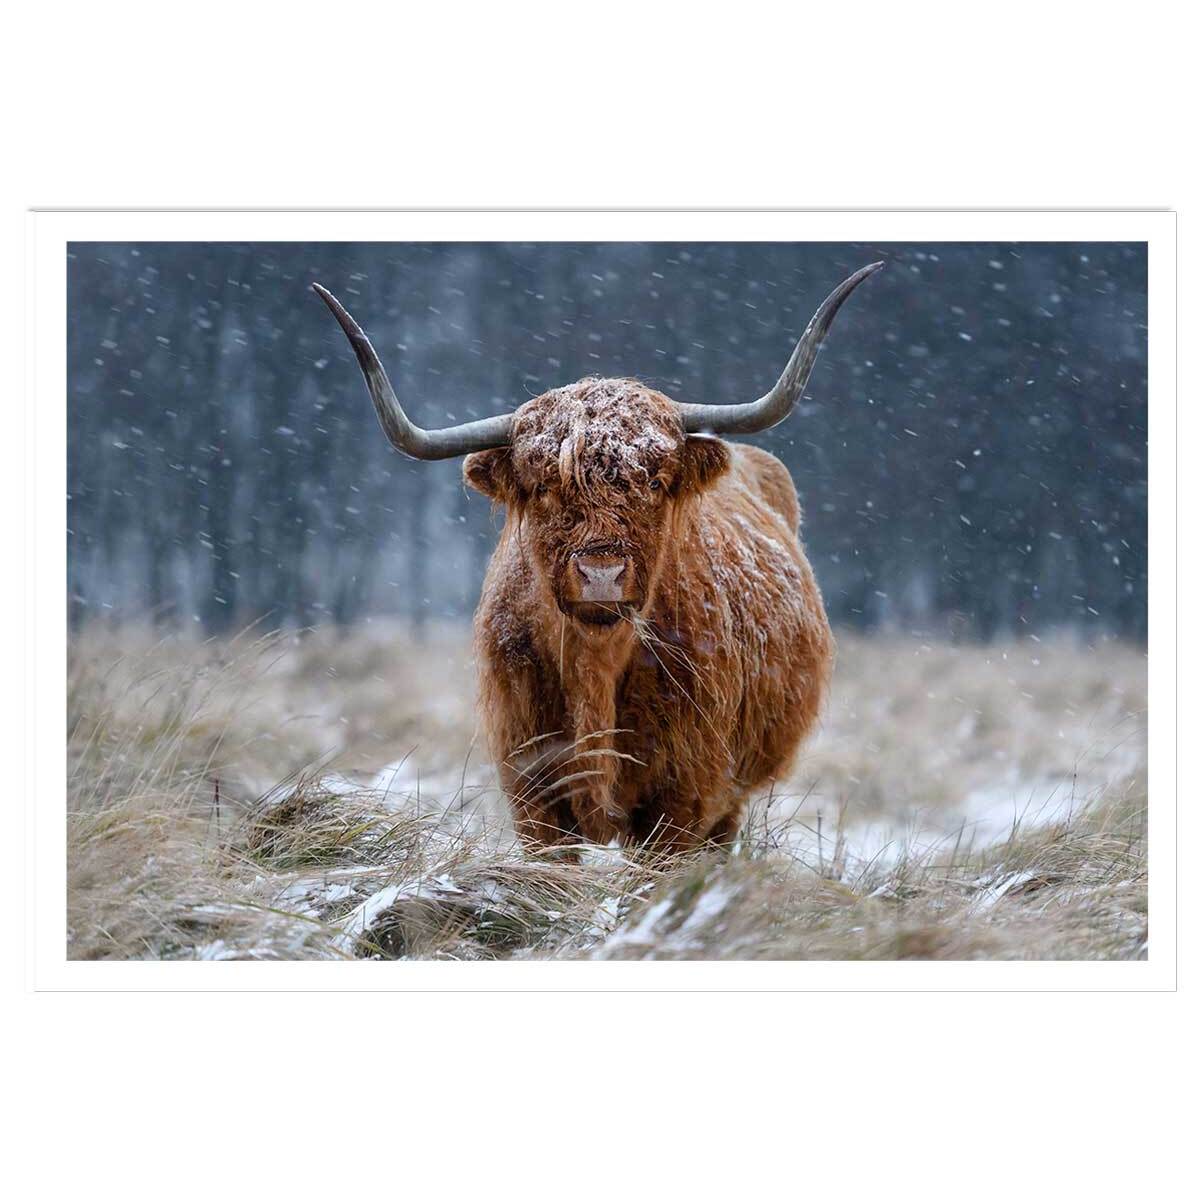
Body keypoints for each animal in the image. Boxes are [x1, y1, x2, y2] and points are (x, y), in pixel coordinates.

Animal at [314, 262, 882, 851]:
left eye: (654, 482)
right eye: (544, 487)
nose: (602, 574)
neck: (596, 666)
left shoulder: (684, 797)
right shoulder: (533, 792)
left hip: (729, 800)